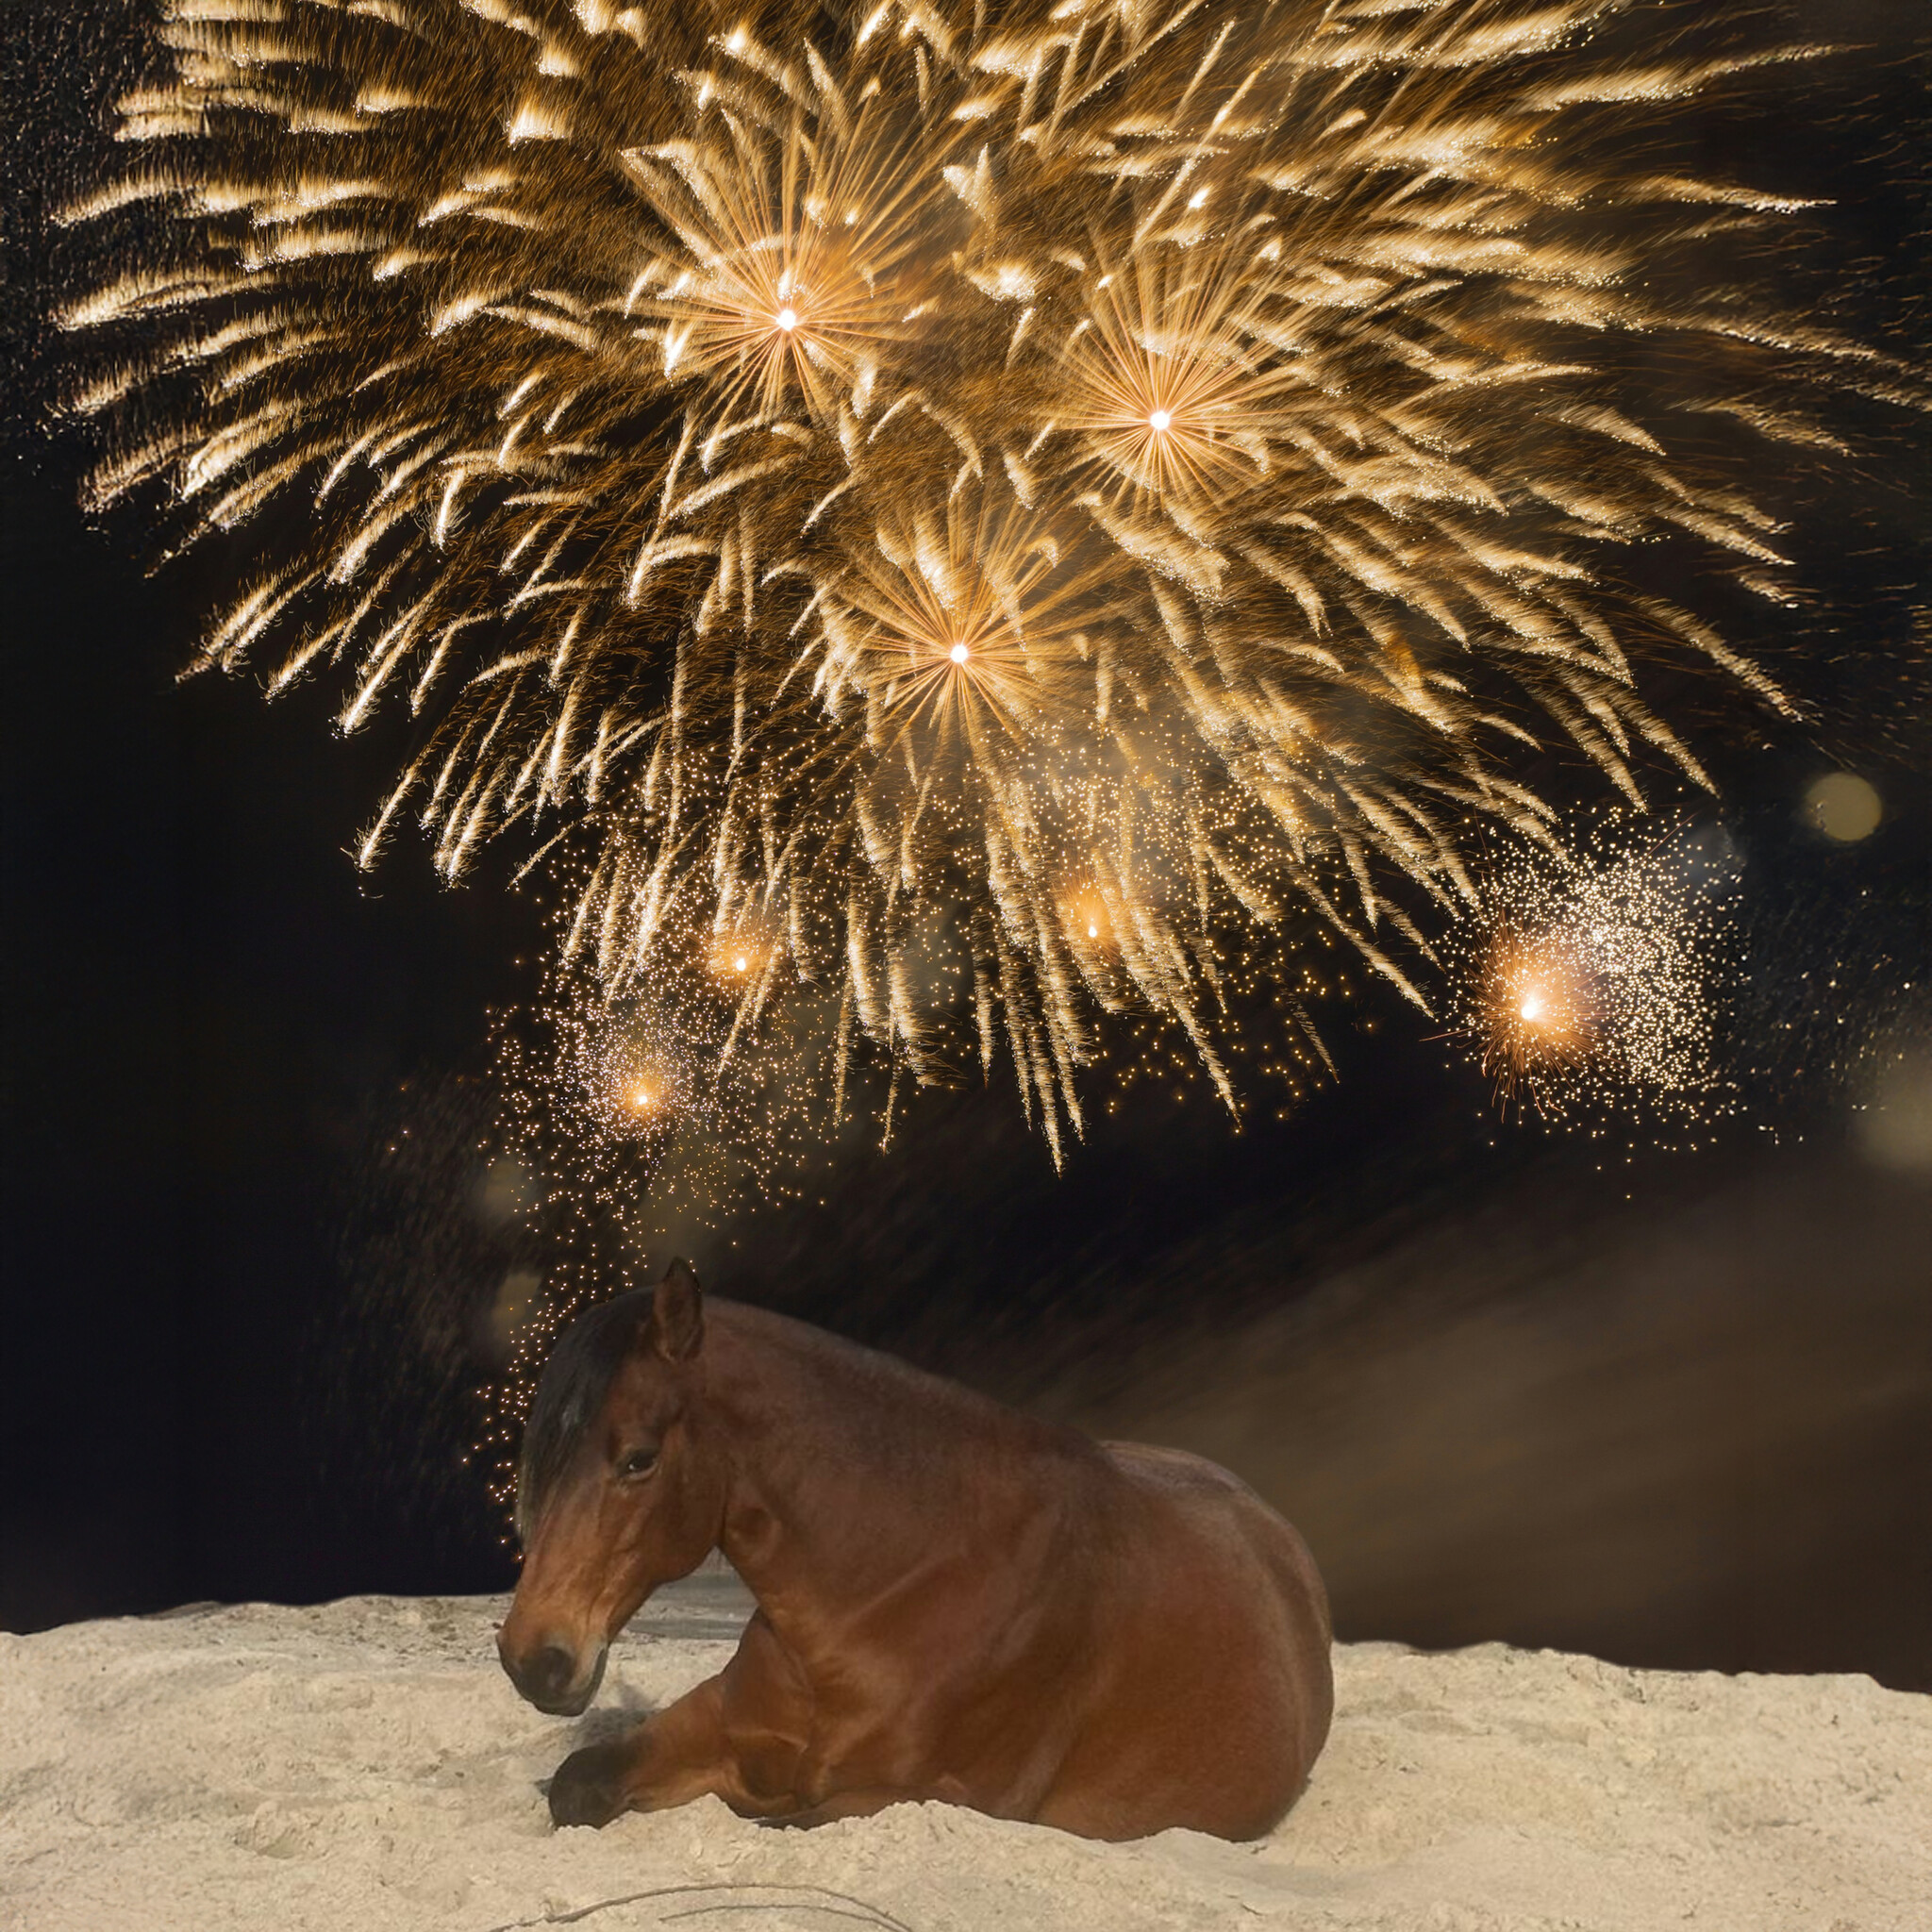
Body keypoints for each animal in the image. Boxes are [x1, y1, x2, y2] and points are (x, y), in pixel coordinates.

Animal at [497, 1259, 1333, 1842]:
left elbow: (771, 1819)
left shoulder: (920, 1797)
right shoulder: (713, 1729)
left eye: (637, 1459)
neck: (904, 1589)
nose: (534, 1658)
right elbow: (579, 1784)